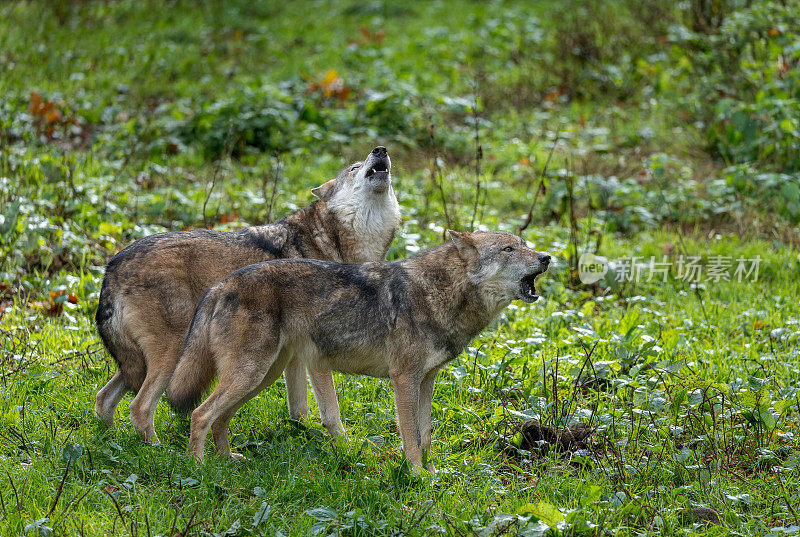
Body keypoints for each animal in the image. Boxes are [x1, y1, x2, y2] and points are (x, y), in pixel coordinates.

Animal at [94, 146, 400, 444]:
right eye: (354, 168)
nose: (381, 150)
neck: (334, 238)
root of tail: (113, 264)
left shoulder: (294, 353)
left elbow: (299, 407)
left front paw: (300, 433)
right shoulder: (316, 351)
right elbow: (330, 409)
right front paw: (343, 444)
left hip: (140, 363)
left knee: (103, 399)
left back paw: (109, 443)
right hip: (174, 354)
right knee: (139, 407)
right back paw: (159, 451)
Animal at [169, 228, 552, 472]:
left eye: (525, 244)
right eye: (509, 250)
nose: (547, 256)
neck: (440, 292)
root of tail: (220, 285)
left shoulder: (427, 379)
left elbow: (426, 434)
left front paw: (430, 472)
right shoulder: (403, 380)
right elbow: (411, 435)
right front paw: (416, 475)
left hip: (259, 378)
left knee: (219, 418)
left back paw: (226, 460)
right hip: (250, 376)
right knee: (200, 414)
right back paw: (199, 469)